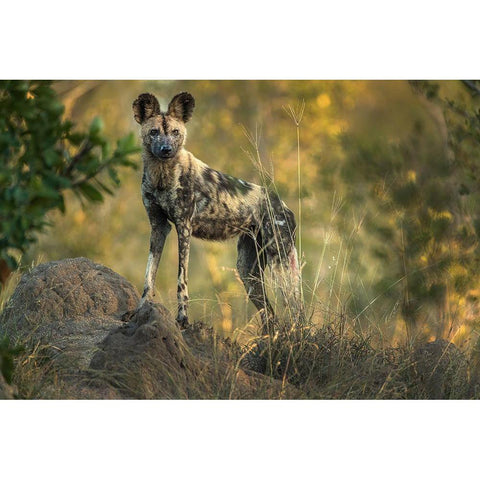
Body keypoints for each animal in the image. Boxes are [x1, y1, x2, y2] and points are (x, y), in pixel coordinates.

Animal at [127, 92, 300, 332]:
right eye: (154, 132)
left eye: (175, 132)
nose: (166, 150)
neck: (162, 176)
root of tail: (283, 204)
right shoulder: (158, 227)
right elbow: (149, 276)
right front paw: (139, 311)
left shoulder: (184, 228)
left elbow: (181, 280)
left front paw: (182, 319)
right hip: (248, 272)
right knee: (270, 313)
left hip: (279, 261)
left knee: (295, 309)